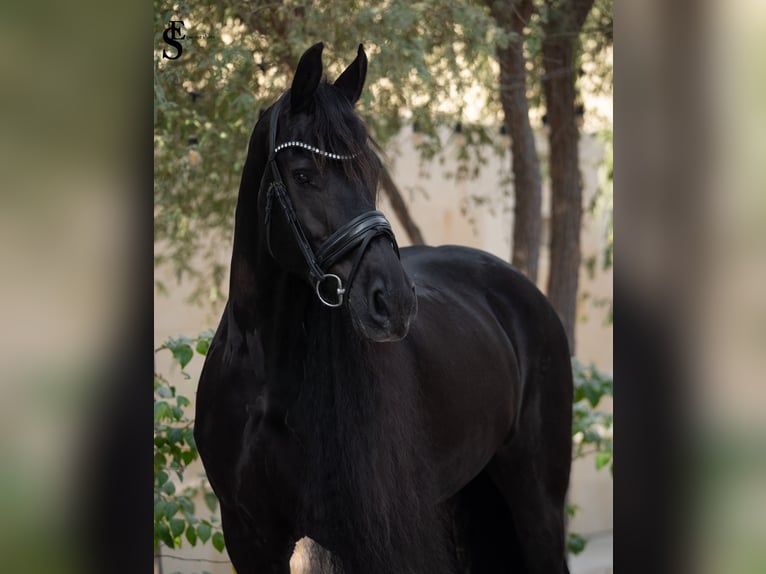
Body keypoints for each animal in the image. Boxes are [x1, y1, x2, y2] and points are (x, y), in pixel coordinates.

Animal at [194, 42, 573, 574]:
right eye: (304, 175)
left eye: (372, 173)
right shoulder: (249, 537)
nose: (393, 302)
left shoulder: (366, 535)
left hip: (537, 501)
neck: (265, 376)